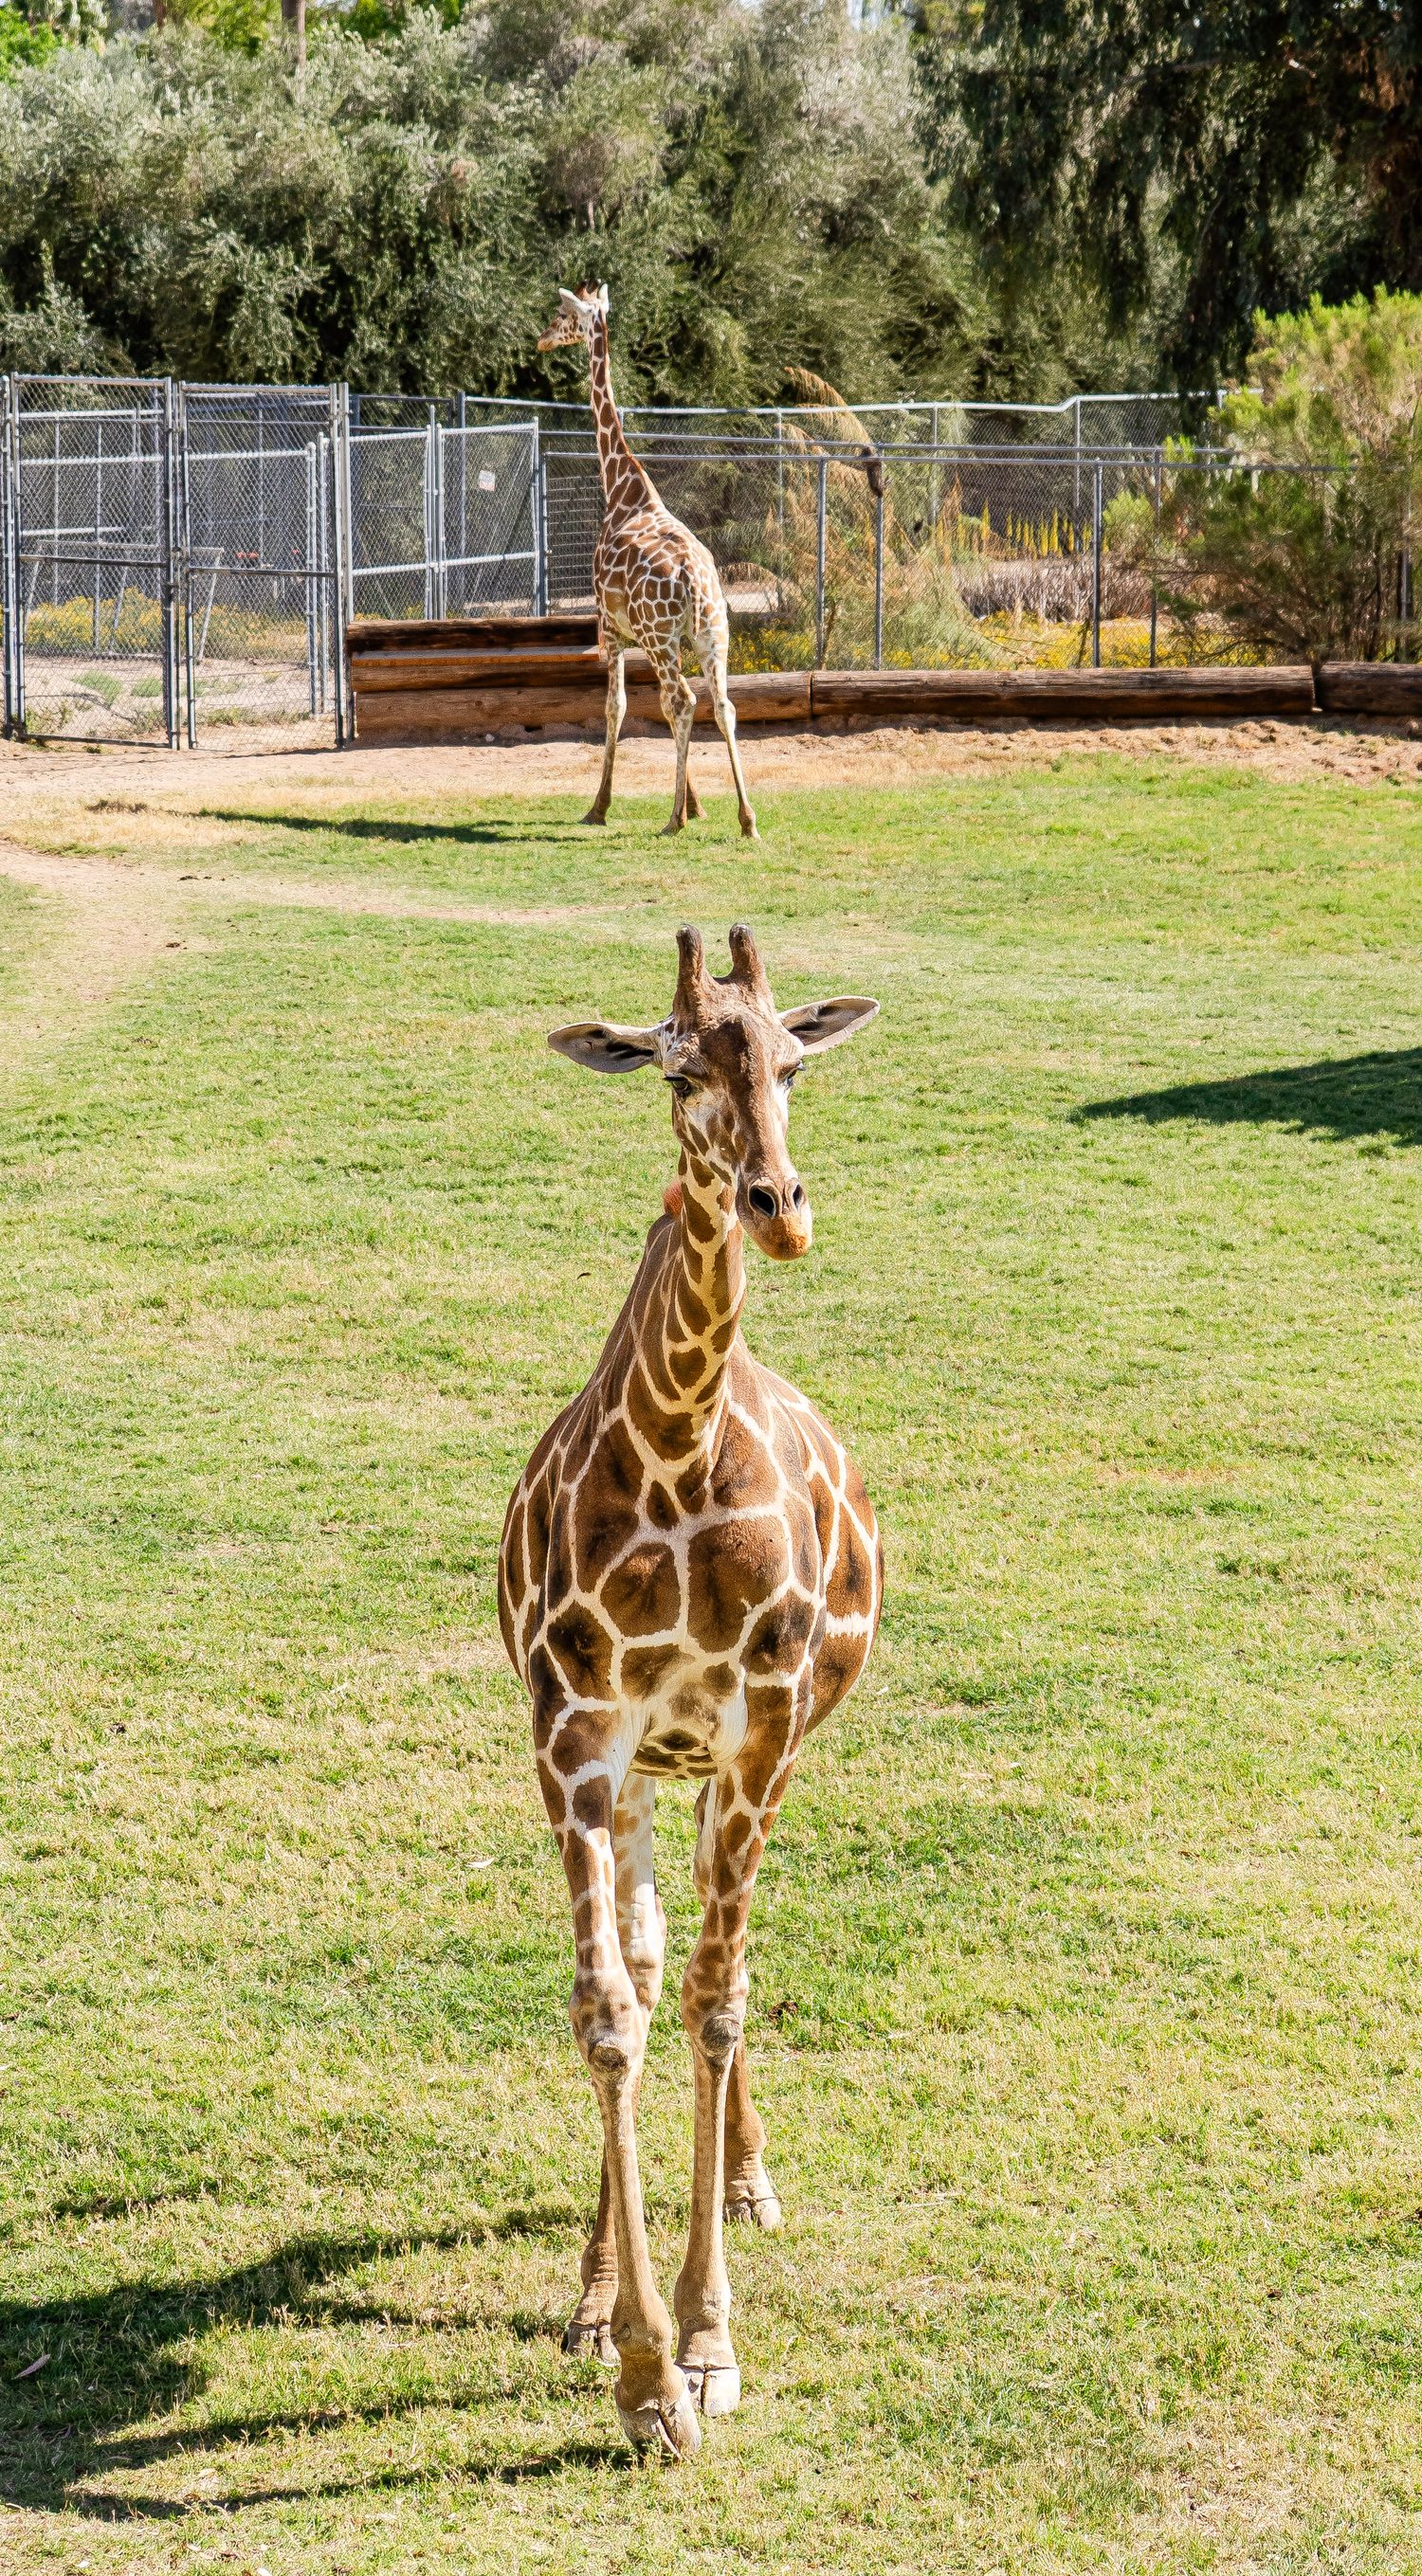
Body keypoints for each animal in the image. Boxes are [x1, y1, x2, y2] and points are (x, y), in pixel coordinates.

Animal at [497, 922, 882, 2460]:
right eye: (674, 1072)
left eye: (791, 1061)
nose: (779, 1210)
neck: (674, 1449)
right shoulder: (575, 1737)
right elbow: (612, 2008)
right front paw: (640, 2366)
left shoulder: (761, 1724)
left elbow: (722, 2003)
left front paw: (712, 2348)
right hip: (654, 1771)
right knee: (661, 1965)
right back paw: (600, 2290)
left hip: (736, 1762)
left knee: (725, 1967)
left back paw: (748, 2183)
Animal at [537, 284, 758, 842]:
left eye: (562, 314)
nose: (541, 339)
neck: (623, 490)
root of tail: (694, 582)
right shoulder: (657, 638)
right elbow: (653, 707)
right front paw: (698, 805)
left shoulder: (609, 627)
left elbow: (616, 708)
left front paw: (599, 807)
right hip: (713, 635)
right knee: (721, 705)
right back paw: (747, 819)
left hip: (662, 638)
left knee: (684, 702)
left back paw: (672, 820)